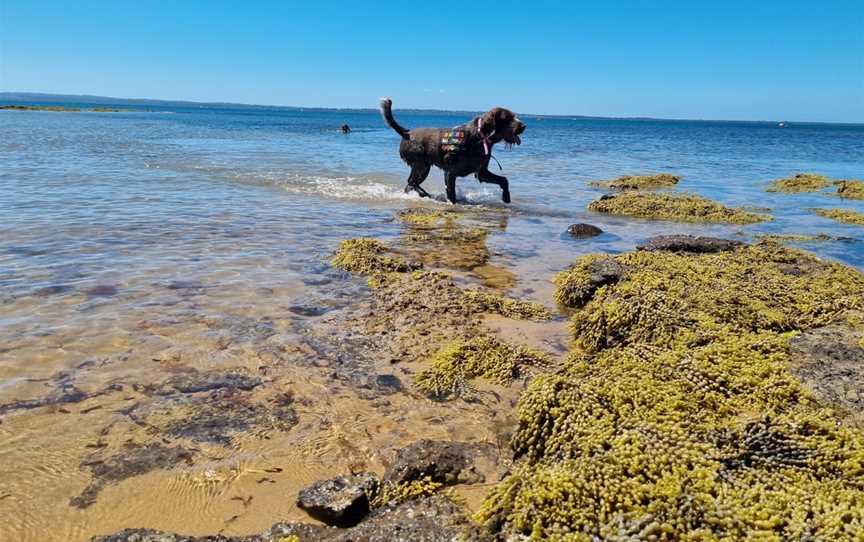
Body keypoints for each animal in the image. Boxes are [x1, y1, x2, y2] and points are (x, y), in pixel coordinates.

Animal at [380, 98, 528, 204]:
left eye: (514, 116)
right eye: (507, 118)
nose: (524, 126)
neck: (479, 137)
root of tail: (406, 133)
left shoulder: (481, 172)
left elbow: (504, 180)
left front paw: (506, 197)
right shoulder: (450, 172)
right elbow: (451, 194)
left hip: (422, 167)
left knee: (409, 185)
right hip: (421, 166)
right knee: (411, 182)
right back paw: (423, 194)